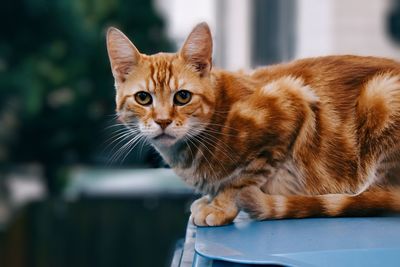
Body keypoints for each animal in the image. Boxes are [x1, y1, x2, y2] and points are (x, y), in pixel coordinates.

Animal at [105, 22, 400, 226]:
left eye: (183, 96)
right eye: (143, 98)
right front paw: (212, 199)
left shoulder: (290, 100)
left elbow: (242, 178)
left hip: (380, 94)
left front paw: (220, 206)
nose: (163, 120)